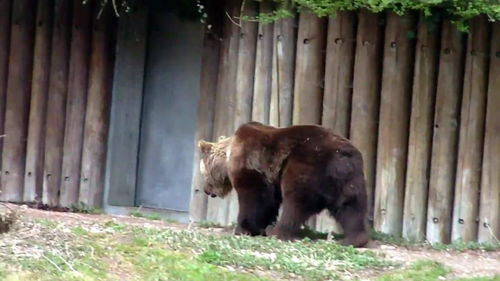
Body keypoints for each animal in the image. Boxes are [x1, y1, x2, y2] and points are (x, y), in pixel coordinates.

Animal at [197, 121, 370, 246]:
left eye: (203, 173)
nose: (206, 190)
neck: (228, 156)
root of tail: (342, 155)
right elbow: (269, 202)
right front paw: (259, 227)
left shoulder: (250, 163)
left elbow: (254, 196)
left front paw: (243, 228)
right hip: (349, 179)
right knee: (351, 207)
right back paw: (353, 239)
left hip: (307, 163)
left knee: (295, 201)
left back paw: (278, 232)